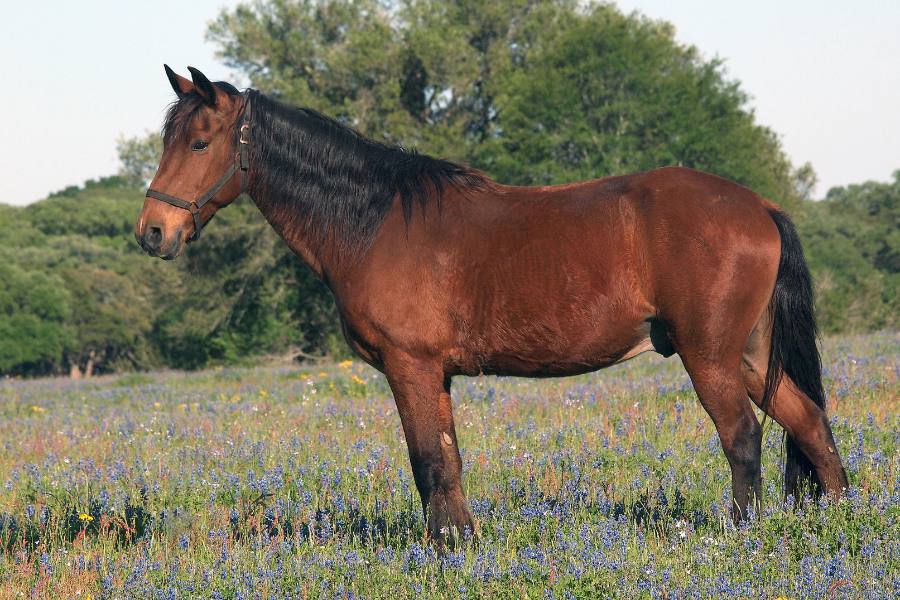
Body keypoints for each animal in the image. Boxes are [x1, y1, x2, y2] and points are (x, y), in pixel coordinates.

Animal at [135, 65, 848, 544]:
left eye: (200, 144)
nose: (151, 232)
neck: (374, 221)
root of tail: (759, 206)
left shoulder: (411, 367)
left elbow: (428, 462)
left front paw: (440, 552)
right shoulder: (434, 375)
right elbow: (446, 460)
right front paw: (461, 544)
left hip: (710, 357)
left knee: (743, 437)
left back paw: (740, 535)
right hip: (748, 355)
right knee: (809, 423)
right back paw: (842, 523)